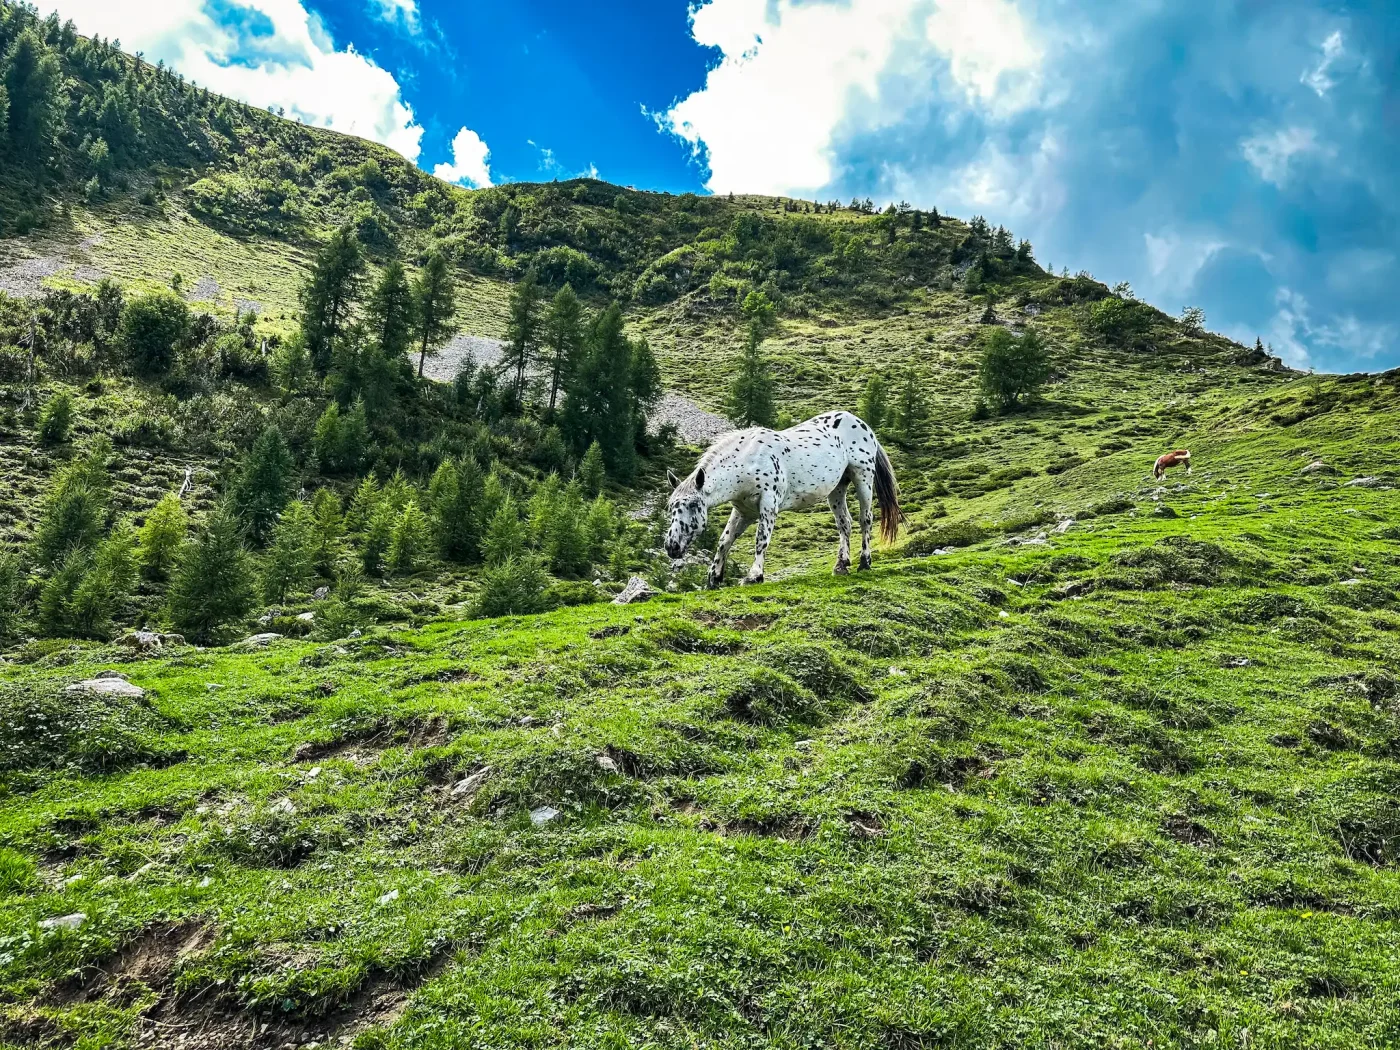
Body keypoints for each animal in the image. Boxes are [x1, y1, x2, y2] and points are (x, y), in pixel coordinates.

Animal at [664, 411, 901, 588]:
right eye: (671, 507)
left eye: (693, 505)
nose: (671, 546)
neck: (747, 461)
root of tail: (863, 425)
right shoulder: (743, 511)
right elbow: (725, 540)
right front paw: (714, 578)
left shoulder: (768, 505)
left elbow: (761, 539)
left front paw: (754, 576)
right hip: (837, 488)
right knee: (844, 523)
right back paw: (841, 565)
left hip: (863, 477)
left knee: (865, 519)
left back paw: (864, 562)